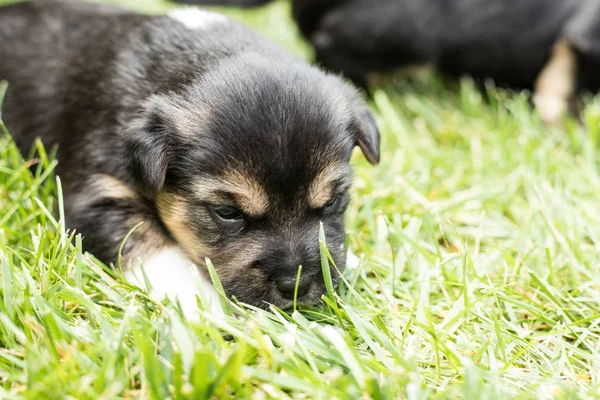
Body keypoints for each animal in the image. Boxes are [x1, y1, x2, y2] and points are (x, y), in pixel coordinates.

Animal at [1, 0, 380, 318]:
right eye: (227, 212)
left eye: (331, 201)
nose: (296, 287)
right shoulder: (97, 195)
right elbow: (155, 247)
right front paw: (204, 304)